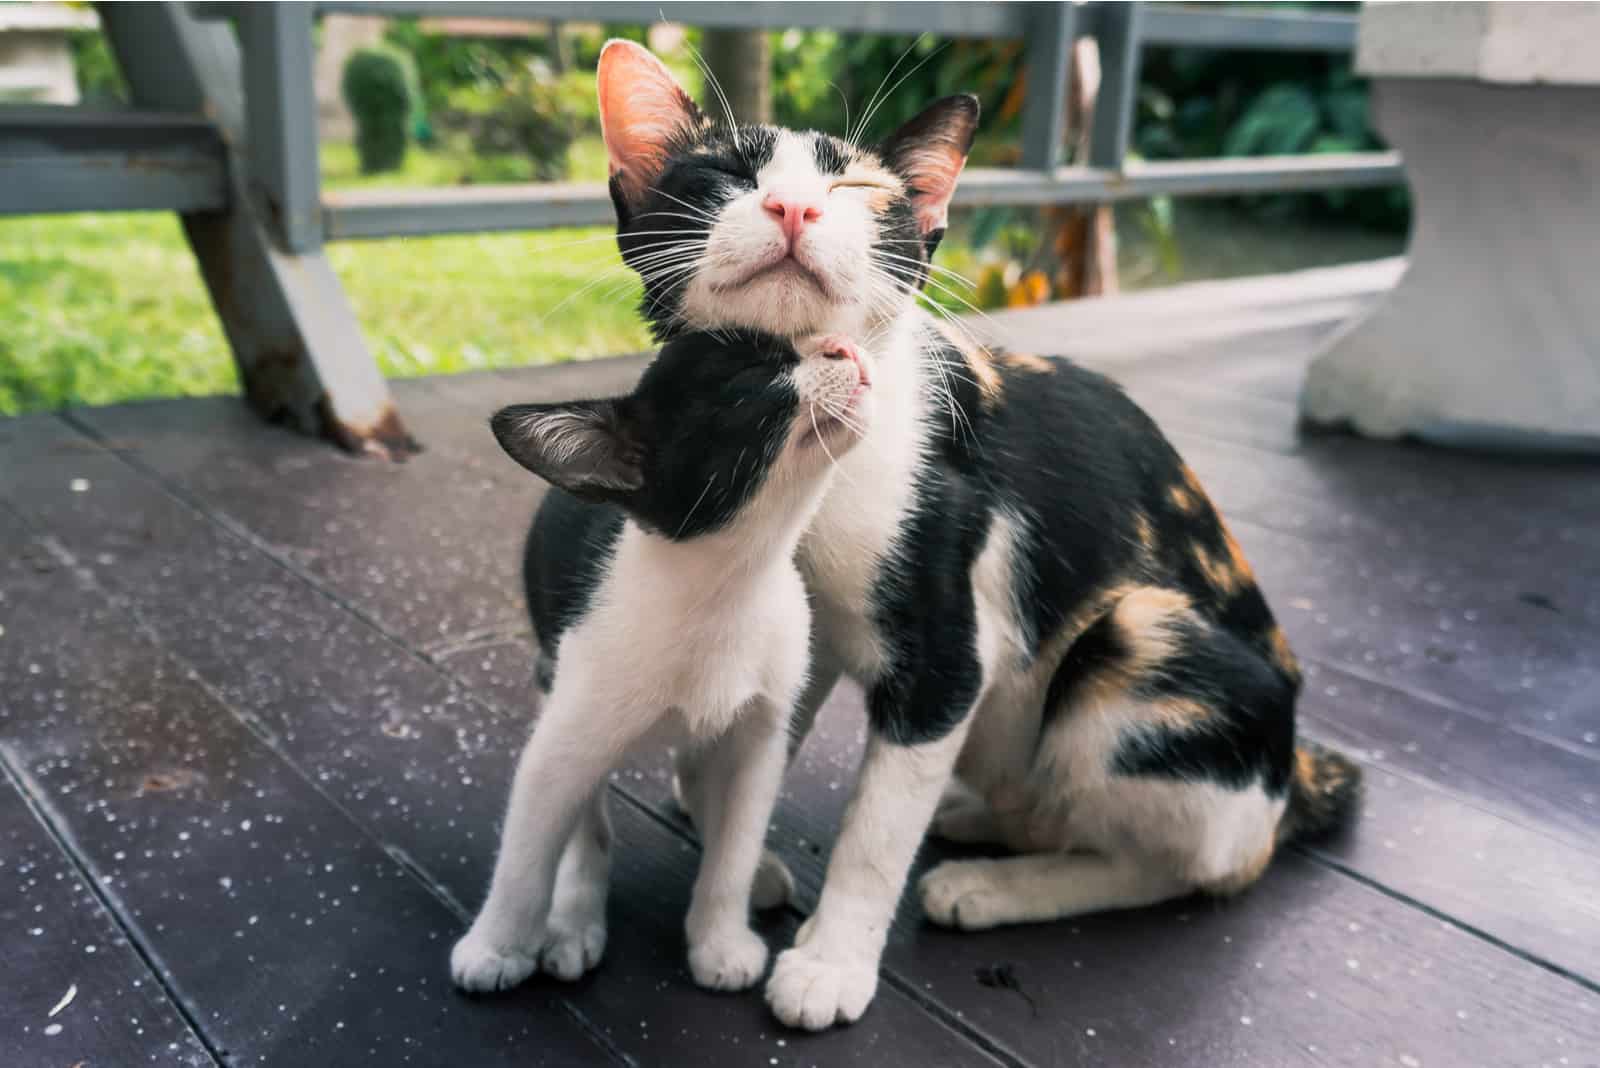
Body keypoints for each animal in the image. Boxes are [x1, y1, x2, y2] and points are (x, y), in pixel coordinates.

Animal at [451, 330, 876, 991]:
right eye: (751, 378)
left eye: (800, 340)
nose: (841, 345)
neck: (729, 586)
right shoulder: (564, 734)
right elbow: (529, 851)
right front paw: (498, 944)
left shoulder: (760, 735)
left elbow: (735, 844)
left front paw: (720, 937)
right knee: (586, 814)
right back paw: (573, 917)